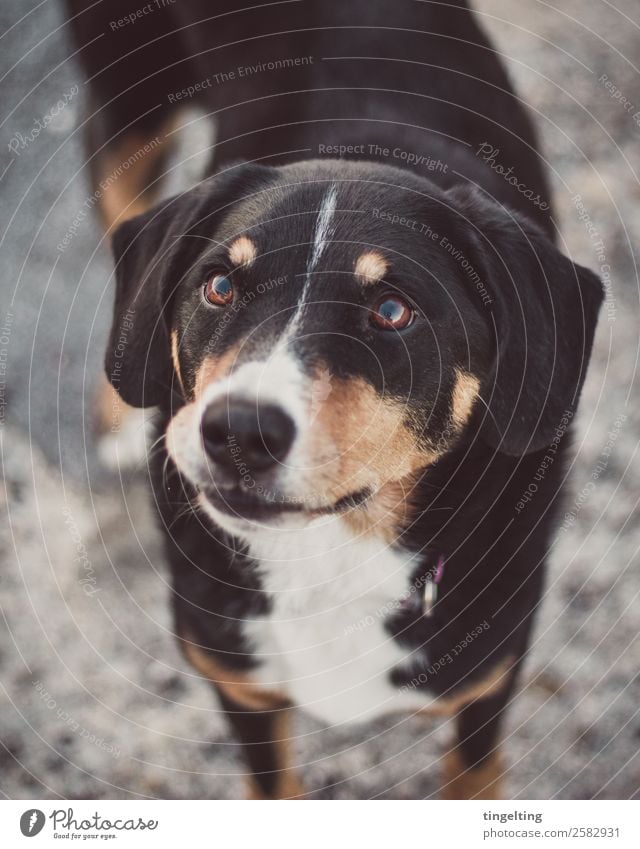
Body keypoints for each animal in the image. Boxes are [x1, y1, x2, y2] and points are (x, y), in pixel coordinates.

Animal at [67, 0, 604, 796]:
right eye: (218, 286)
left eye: (392, 310)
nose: (239, 431)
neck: (331, 555)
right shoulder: (242, 690)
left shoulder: (488, 689)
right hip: (128, 103)